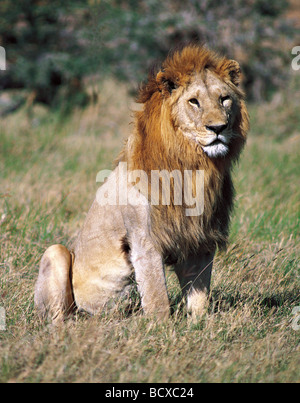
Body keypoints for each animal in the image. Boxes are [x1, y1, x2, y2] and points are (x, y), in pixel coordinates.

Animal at [34, 44, 250, 324]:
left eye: (224, 99)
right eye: (194, 101)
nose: (218, 128)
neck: (194, 166)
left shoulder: (200, 239)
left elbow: (200, 293)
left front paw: (200, 324)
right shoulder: (145, 240)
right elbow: (158, 297)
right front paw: (162, 329)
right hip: (56, 253)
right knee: (58, 316)